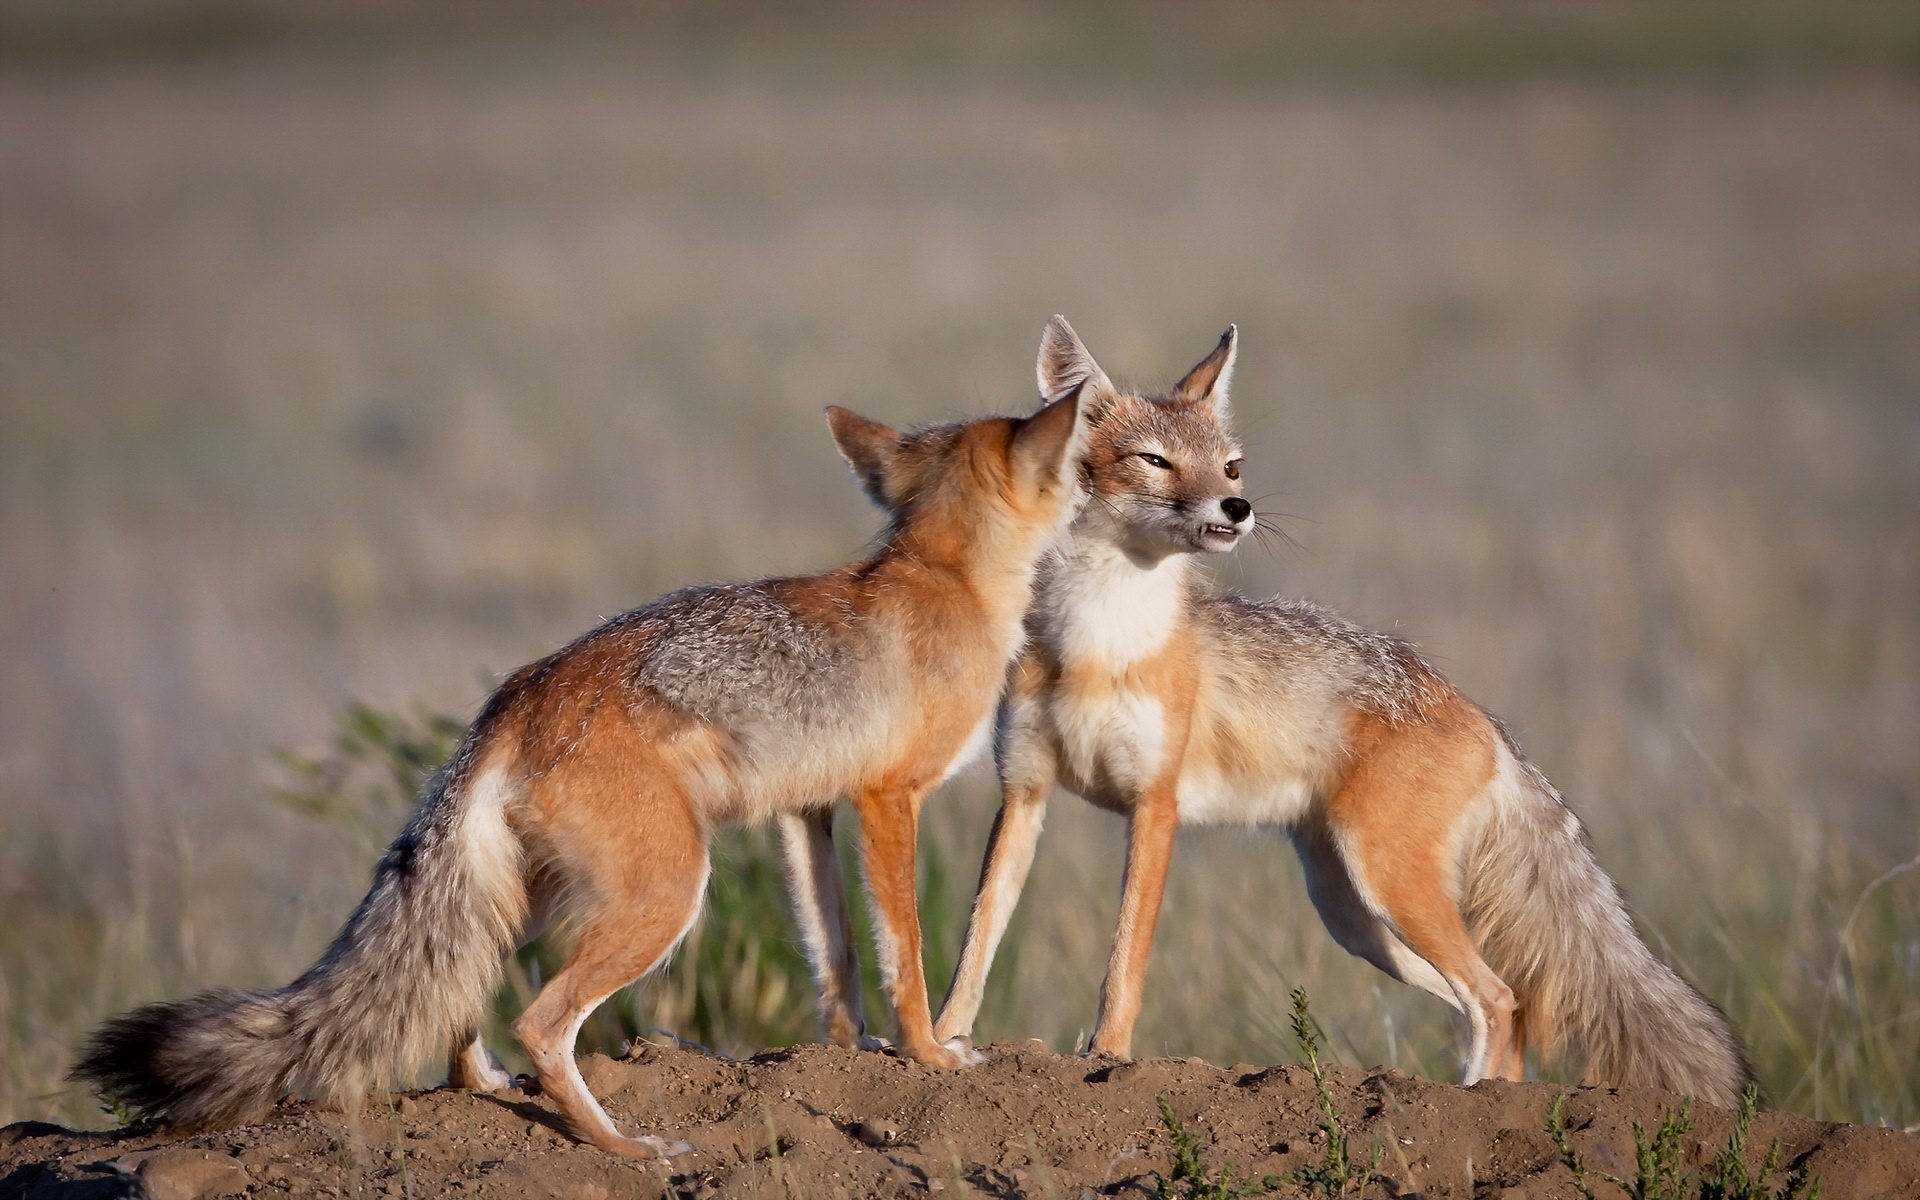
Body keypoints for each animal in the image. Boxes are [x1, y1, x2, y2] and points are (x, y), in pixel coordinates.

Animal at [74, 392, 1088, 1157]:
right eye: (1074, 465)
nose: (1092, 481)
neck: (945, 576)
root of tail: (519, 695)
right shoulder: (888, 801)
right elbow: (904, 951)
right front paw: (928, 1052)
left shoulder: (808, 813)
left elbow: (831, 955)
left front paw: (848, 1052)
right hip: (665, 895)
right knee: (543, 1022)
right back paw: (622, 1148)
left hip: (527, 904)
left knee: (457, 1001)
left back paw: (485, 1085)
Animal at [929, 317, 1750, 1105]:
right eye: (1155, 461)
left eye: (1231, 466)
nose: (1238, 507)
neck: (1096, 644)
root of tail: (1482, 718)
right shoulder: (1025, 791)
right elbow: (975, 940)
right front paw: (939, 1042)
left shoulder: (1154, 806)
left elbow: (1125, 954)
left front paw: (1108, 1055)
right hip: (1355, 915)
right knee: (1500, 1004)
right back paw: (1493, 1096)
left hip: (1386, 883)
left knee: (1498, 997)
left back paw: (1469, 1102)